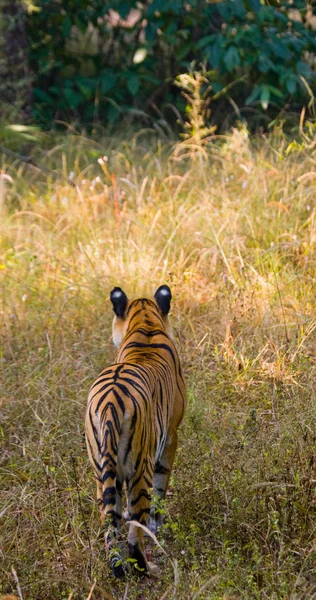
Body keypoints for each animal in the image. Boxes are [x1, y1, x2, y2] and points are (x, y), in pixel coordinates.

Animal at [85, 286, 186, 576]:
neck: (146, 325)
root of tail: (109, 403)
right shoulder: (171, 436)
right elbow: (162, 487)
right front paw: (158, 526)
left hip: (100, 469)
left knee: (109, 521)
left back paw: (117, 566)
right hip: (140, 468)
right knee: (134, 530)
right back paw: (146, 568)